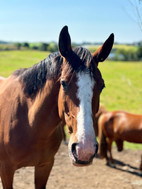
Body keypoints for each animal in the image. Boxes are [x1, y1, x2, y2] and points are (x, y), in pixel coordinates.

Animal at [0, 25, 113, 188]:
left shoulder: (45, 166)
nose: (84, 150)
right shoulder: (6, 170)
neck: (29, 123)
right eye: (63, 83)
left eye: (102, 86)